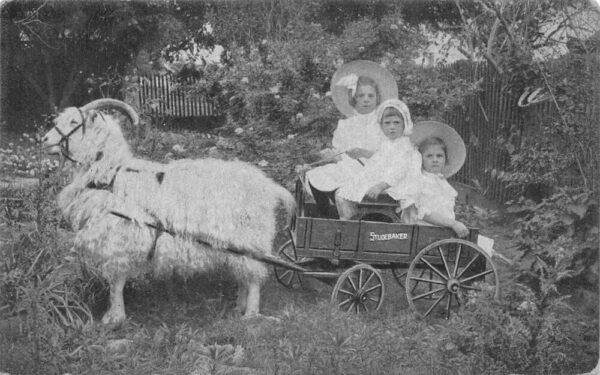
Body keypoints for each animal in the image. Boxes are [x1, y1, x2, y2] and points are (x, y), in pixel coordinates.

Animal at [42, 99, 296, 324]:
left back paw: (250, 315)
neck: (111, 176)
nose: (44, 140)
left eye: (74, 121)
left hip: (251, 238)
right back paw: (238, 308)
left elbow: (116, 281)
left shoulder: (118, 242)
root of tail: (269, 186)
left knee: (253, 278)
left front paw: (114, 318)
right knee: (244, 275)